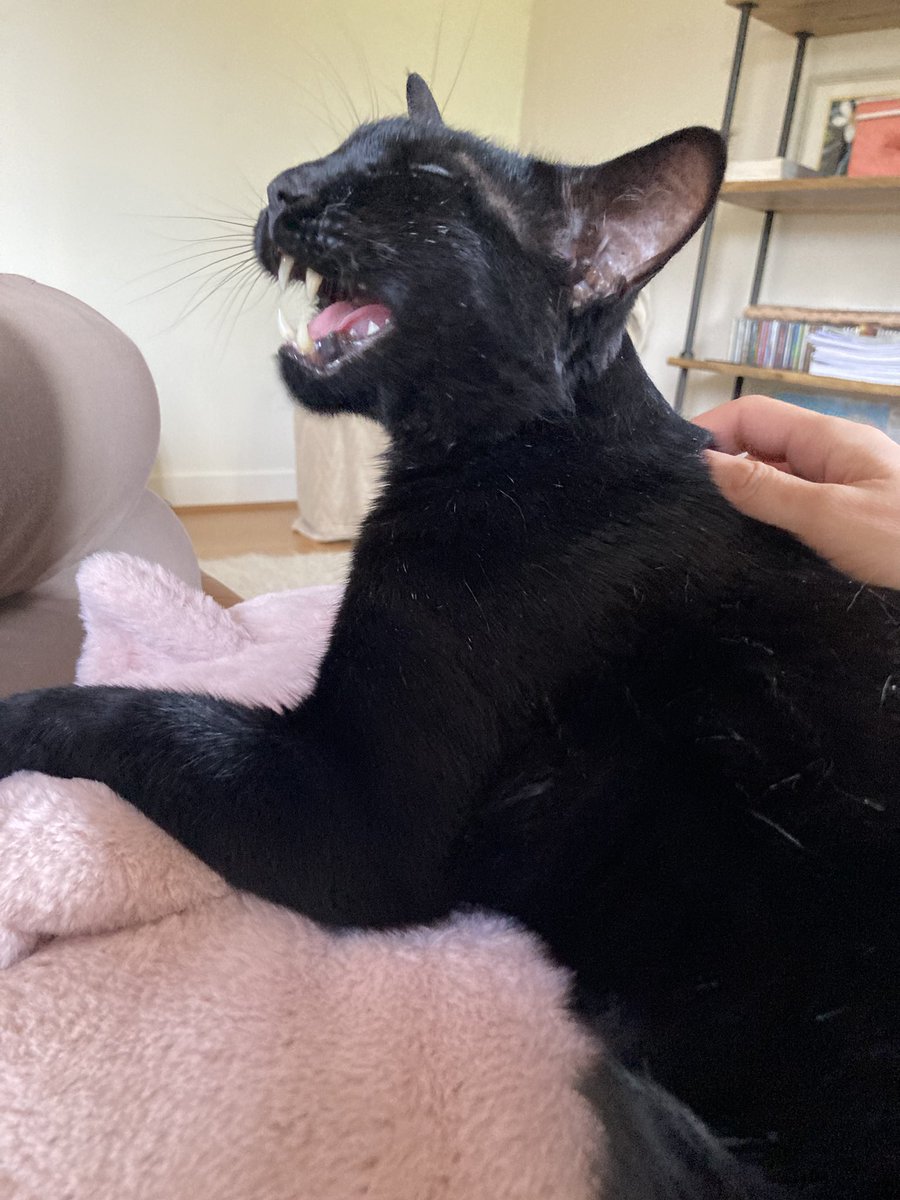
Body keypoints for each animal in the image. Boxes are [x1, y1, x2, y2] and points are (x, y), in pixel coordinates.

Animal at [0, 77, 897, 1200]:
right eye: (342, 149)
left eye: (425, 181)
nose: (284, 187)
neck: (529, 445)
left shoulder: (357, 813)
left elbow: (142, 714)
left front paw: (18, 712)